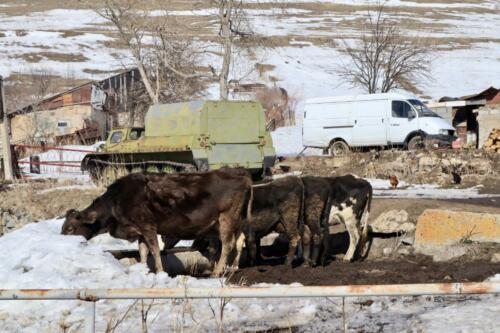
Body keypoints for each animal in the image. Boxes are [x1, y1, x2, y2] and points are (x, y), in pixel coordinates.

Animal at [60, 169, 252, 274]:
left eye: (70, 229)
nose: (60, 240)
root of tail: (240, 173)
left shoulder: (148, 226)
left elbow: (155, 250)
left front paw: (160, 271)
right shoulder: (139, 231)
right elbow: (143, 252)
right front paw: (143, 270)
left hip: (226, 217)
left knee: (227, 244)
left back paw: (217, 271)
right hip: (237, 219)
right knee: (239, 241)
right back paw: (233, 268)